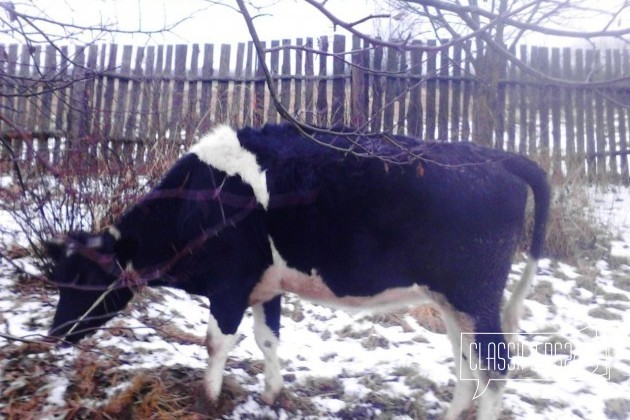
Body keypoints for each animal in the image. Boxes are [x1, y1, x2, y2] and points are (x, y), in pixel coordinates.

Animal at [45, 123, 548, 418]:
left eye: (85, 278)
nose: (56, 333)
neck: (200, 201)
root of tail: (497, 156)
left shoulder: (230, 284)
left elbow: (216, 342)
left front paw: (207, 400)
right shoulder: (266, 286)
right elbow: (267, 338)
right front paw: (271, 395)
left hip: (475, 293)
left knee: (495, 364)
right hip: (450, 299)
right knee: (467, 361)